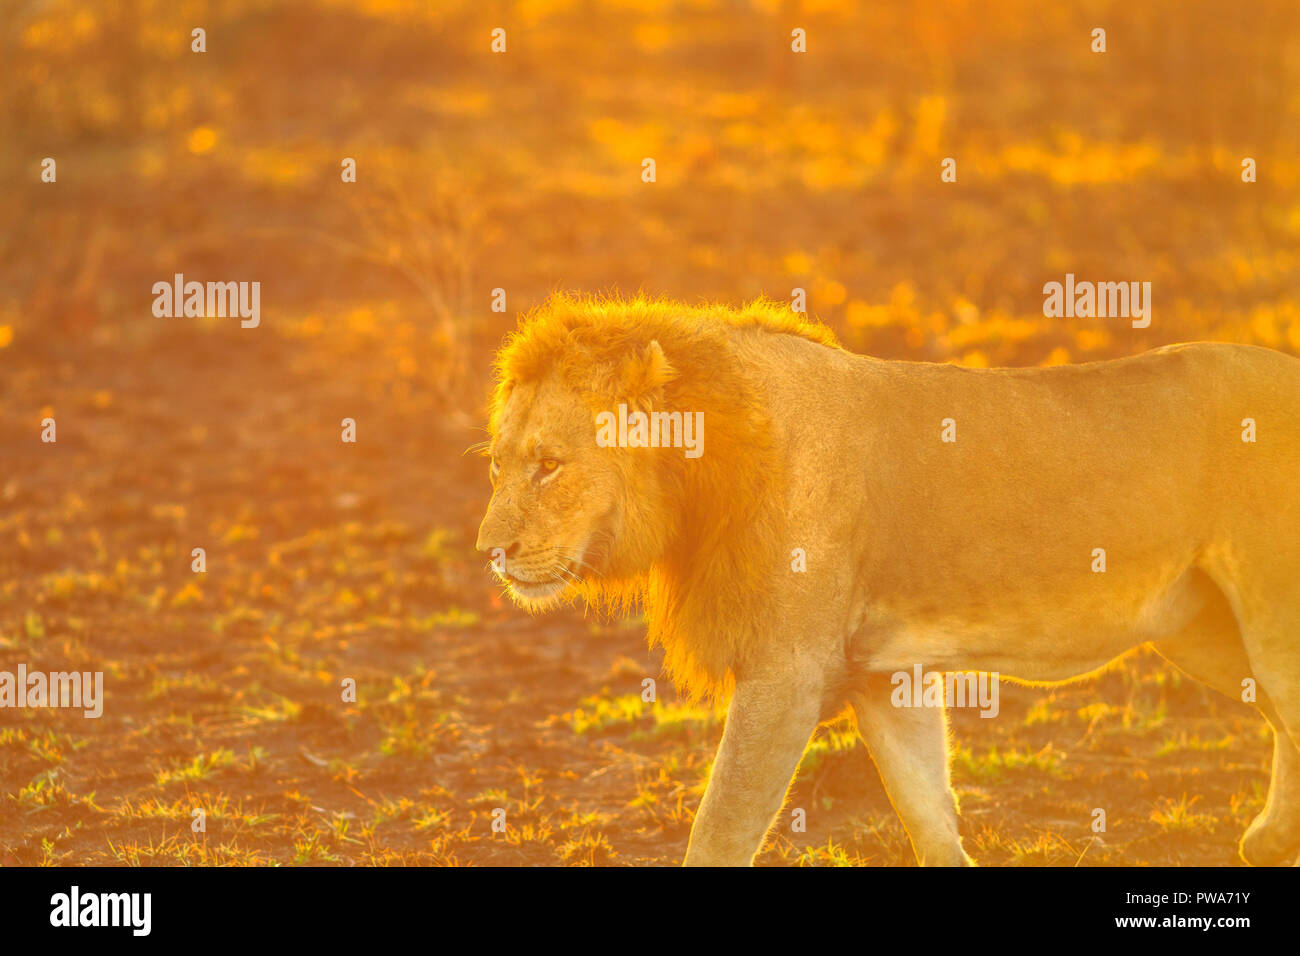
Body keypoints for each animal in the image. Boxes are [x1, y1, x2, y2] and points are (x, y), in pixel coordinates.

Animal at [475, 295, 1300, 868]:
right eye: (497, 463)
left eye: (549, 465)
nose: (489, 552)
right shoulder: (884, 675)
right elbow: (925, 807)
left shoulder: (787, 673)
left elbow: (720, 827)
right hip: (1205, 634)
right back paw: (1268, 840)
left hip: (1271, 620)